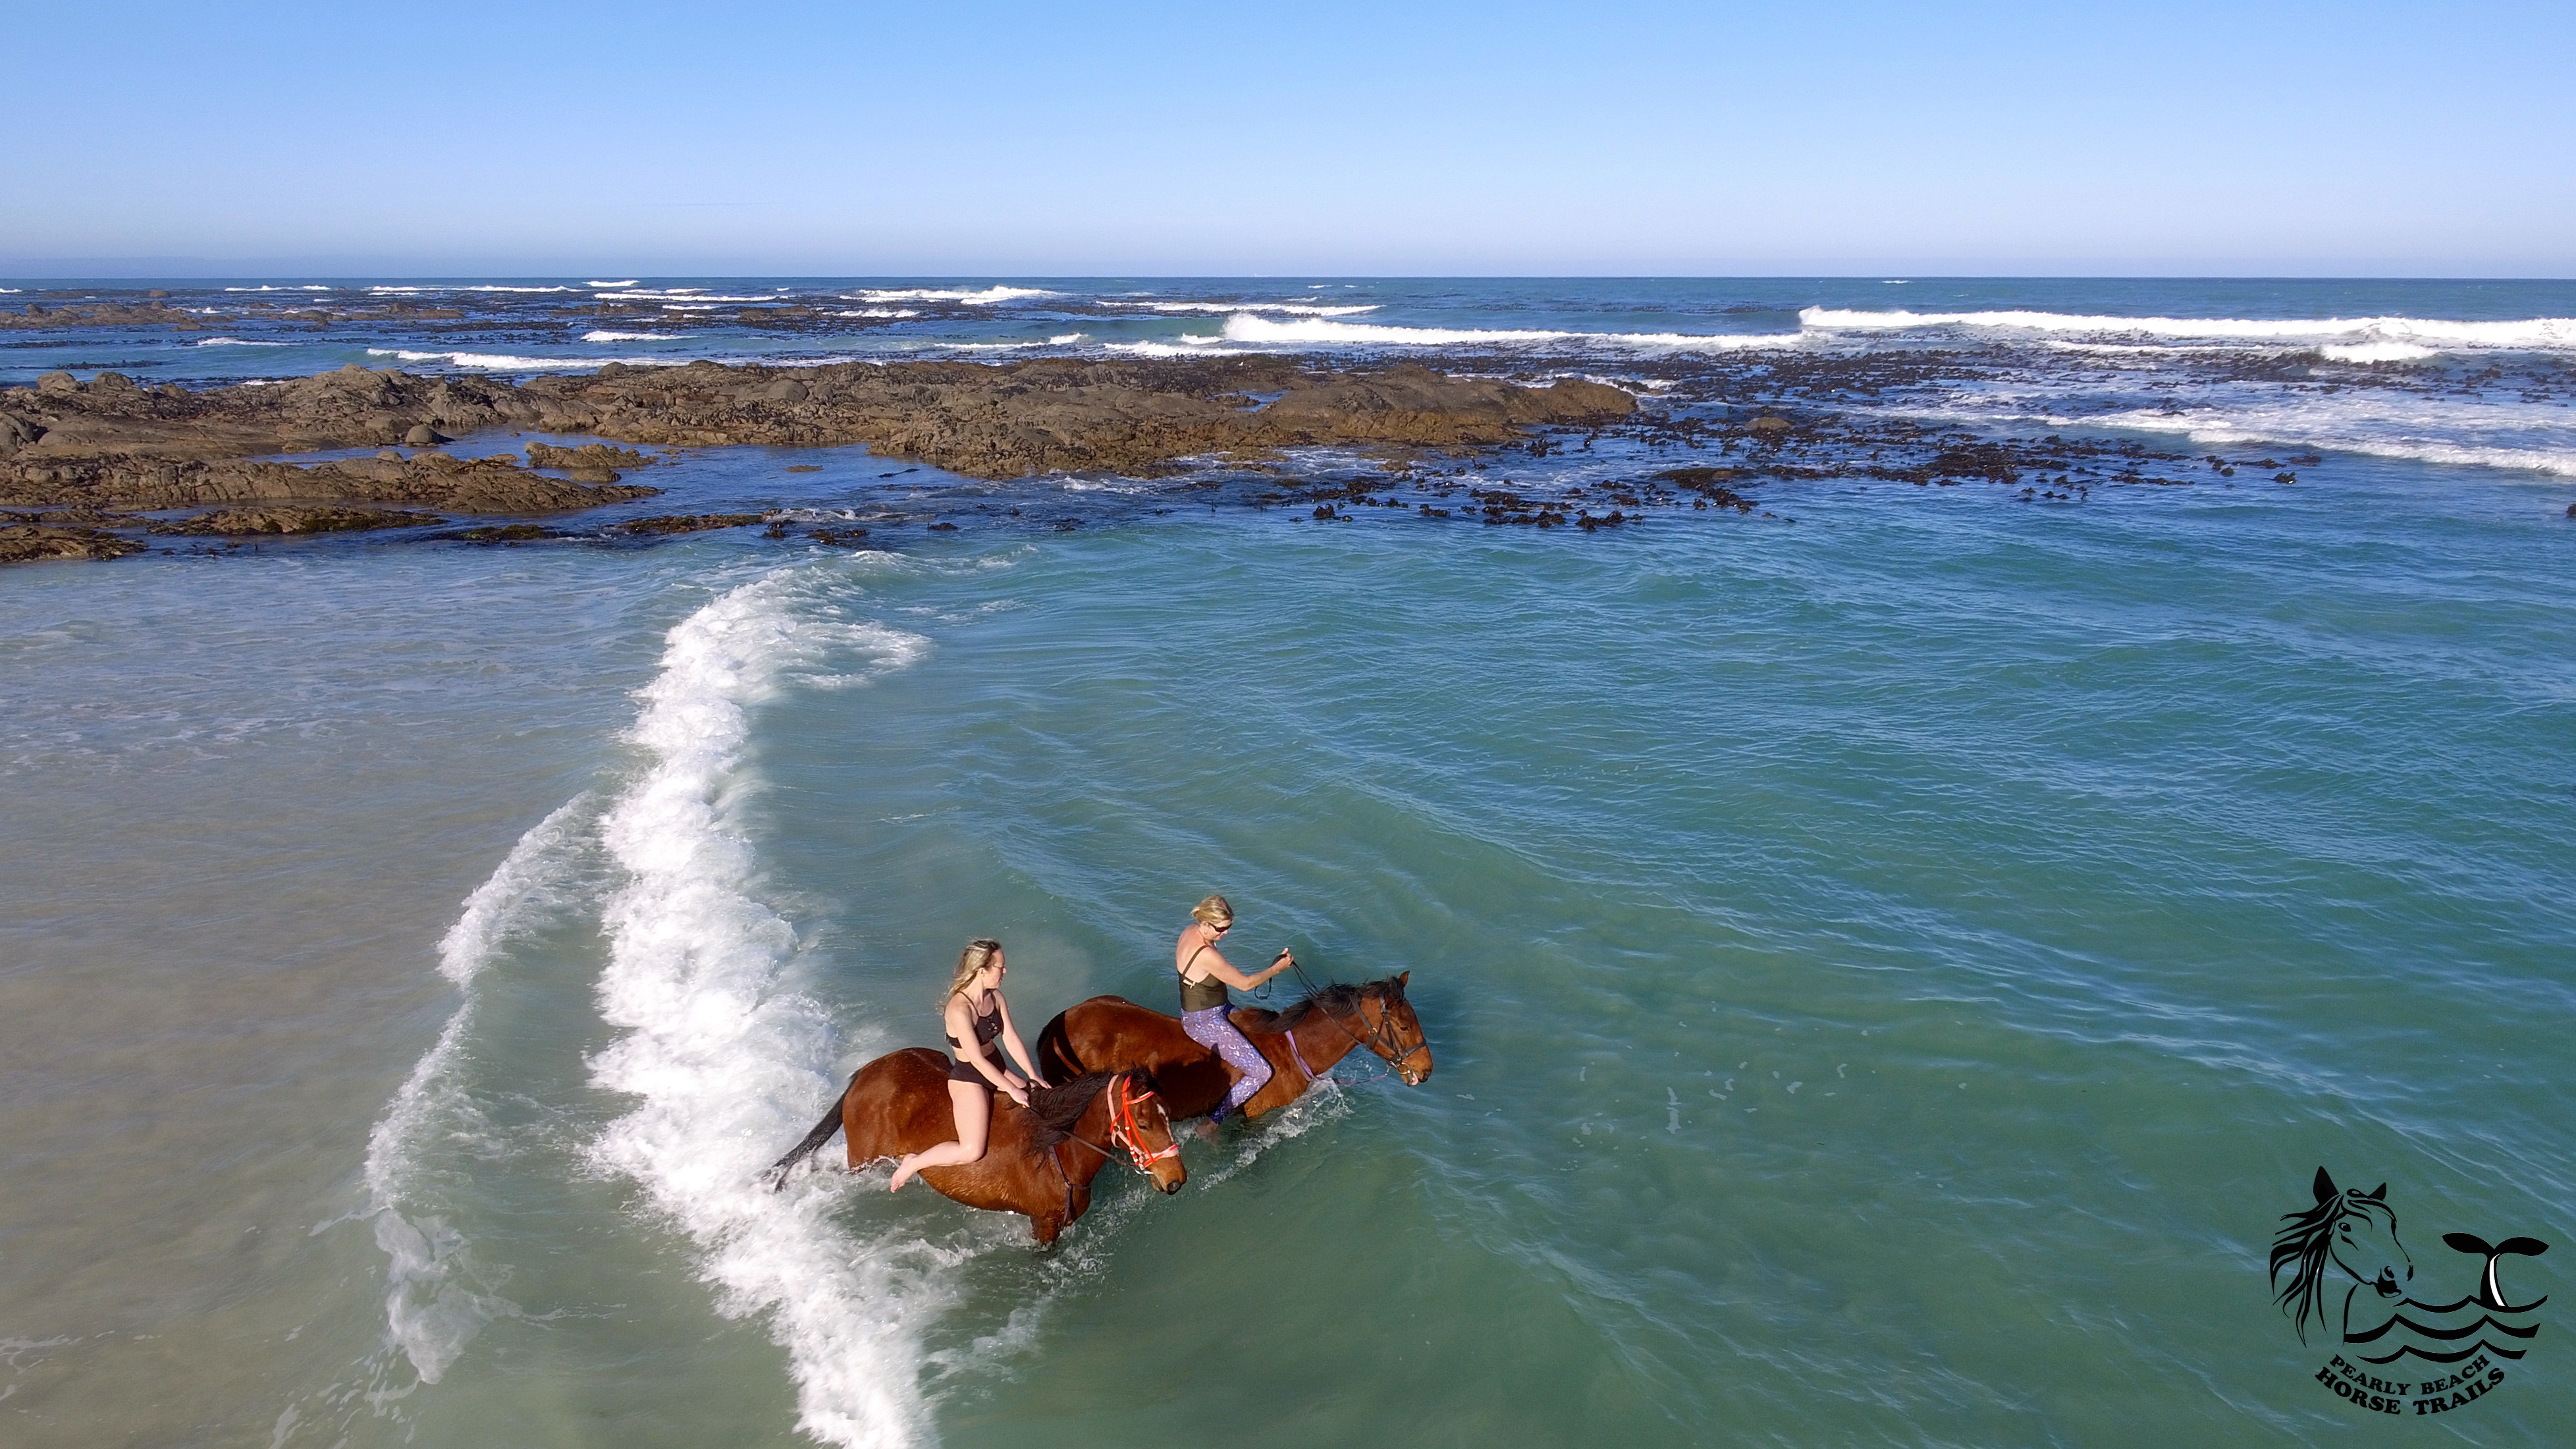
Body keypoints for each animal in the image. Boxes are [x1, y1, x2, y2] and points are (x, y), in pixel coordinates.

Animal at [762, 1052, 1185, 1244]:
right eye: (1143, 1123)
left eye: (1169, 1115)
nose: (1176, 1180)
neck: (1055, 1151)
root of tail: (864, 1074)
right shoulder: (1043, 1226)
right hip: (862, 1162)